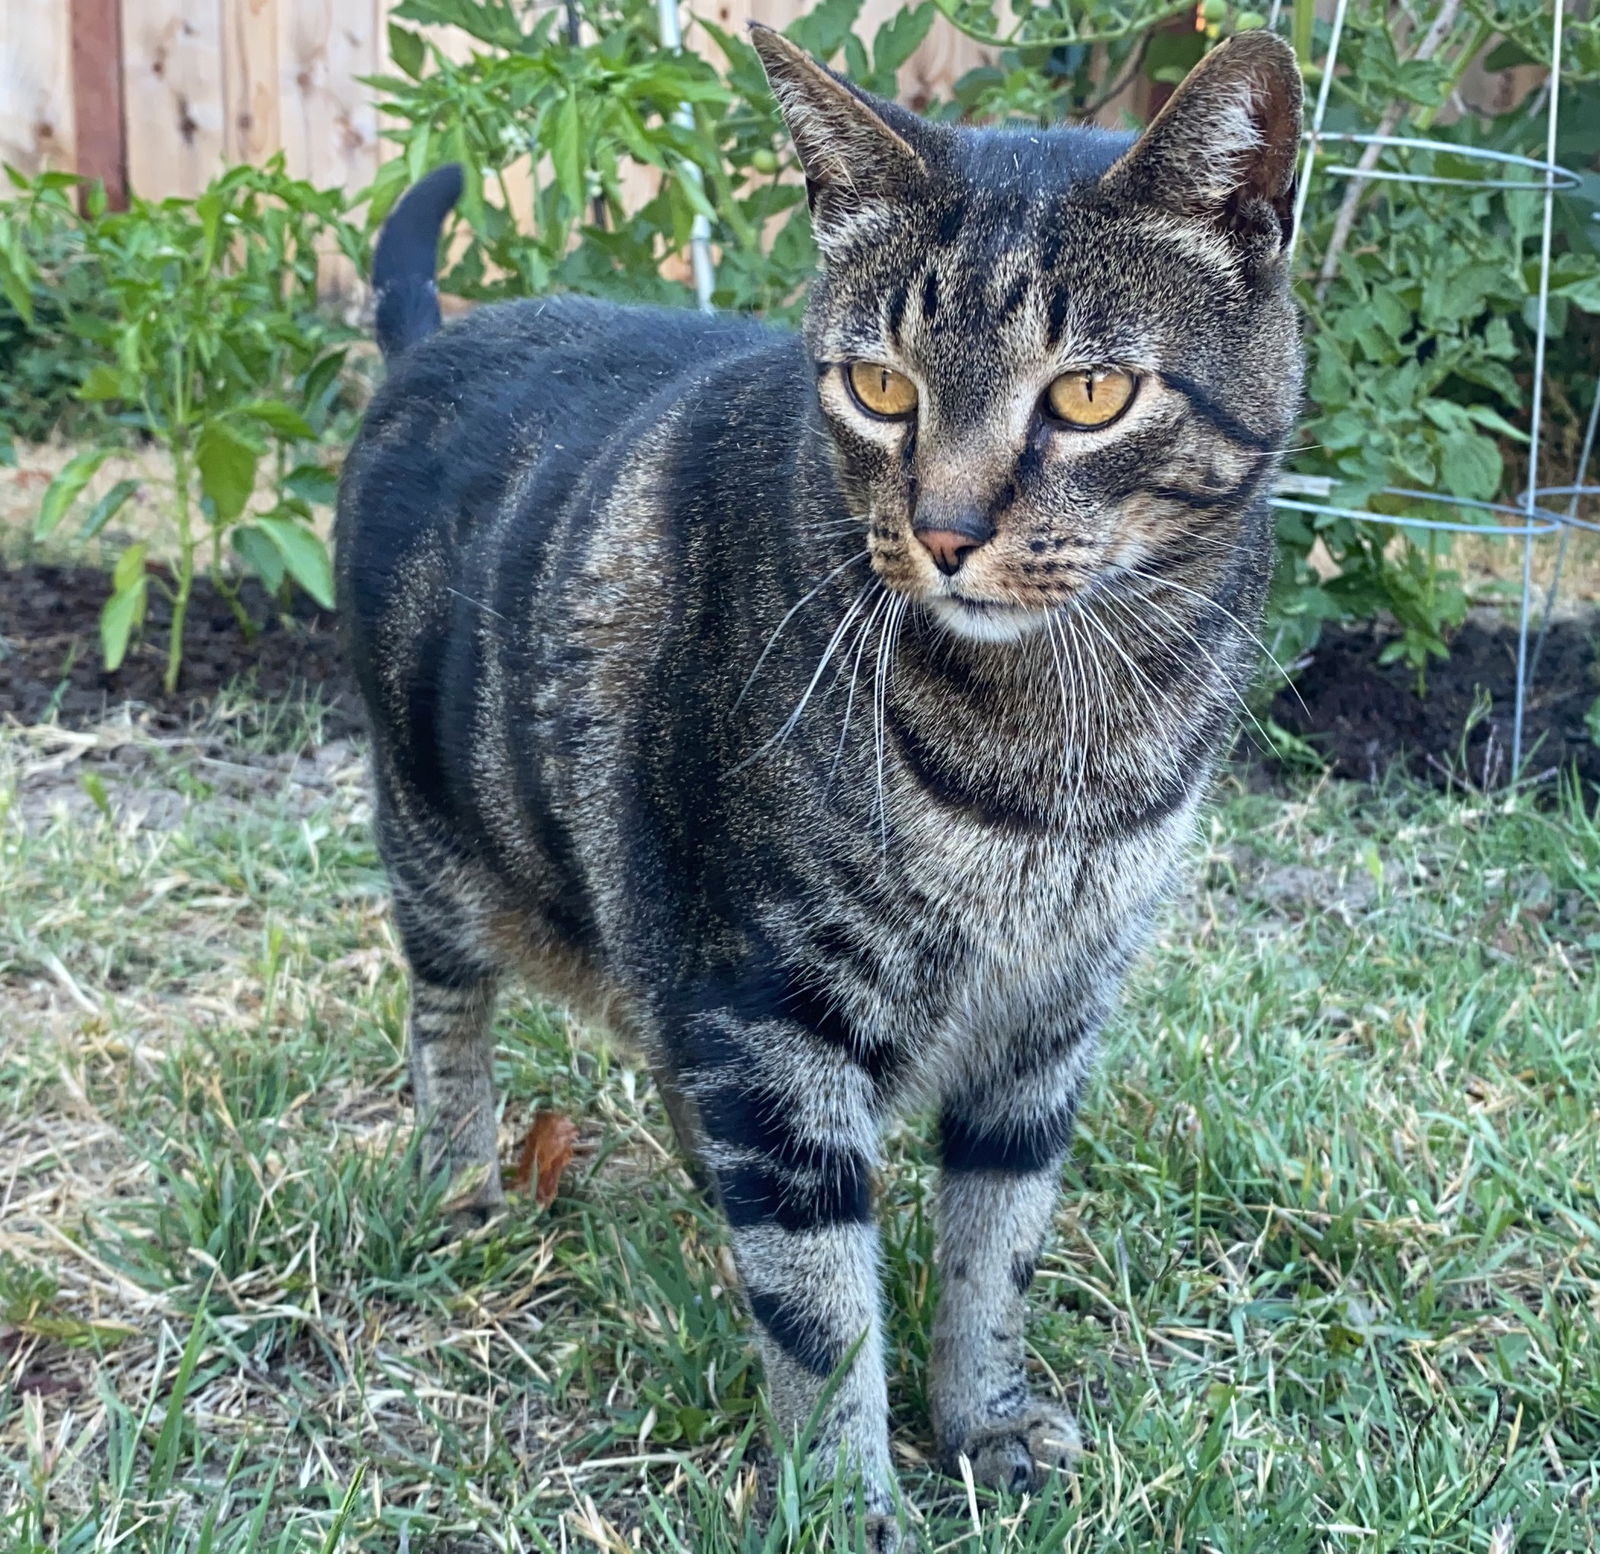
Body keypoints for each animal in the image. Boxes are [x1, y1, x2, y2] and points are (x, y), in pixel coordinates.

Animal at [334, 21, 1299, 1542]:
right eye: (880, 386)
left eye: (1089, 394)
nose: (947, 532)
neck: (1060, 750)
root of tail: (443, 331)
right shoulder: (765, 1004)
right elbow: (819, 1301)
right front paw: (849, 1501)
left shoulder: (1049, 1015)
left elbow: (995, 1247)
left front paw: (985, 1423)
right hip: (439, 845)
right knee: (450, 1017)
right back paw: (460, 1187)